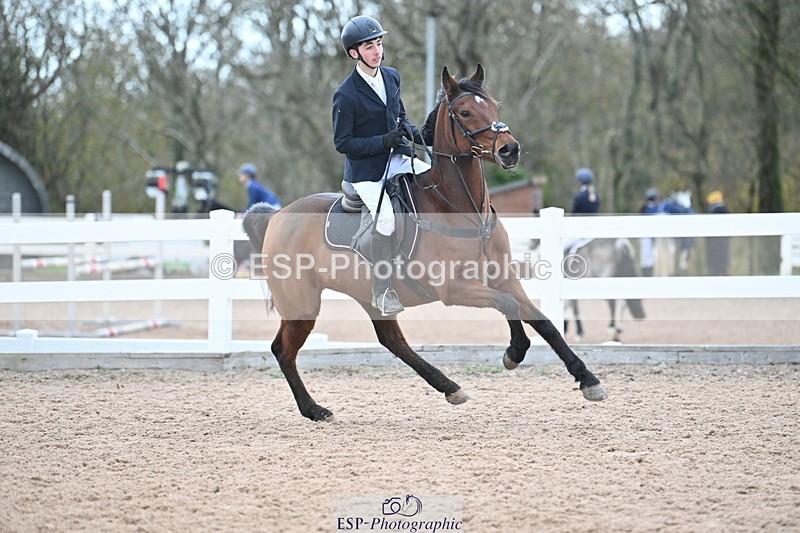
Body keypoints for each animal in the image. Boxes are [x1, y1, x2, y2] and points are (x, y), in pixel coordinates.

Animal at [242, 64, 607, 421]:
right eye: (464, 112)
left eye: (495, 107)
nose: (509, 150)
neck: (460, 209)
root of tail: (276, 217)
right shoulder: (454, 288)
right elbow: (508, 304)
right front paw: (514, 352)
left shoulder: (503, 276)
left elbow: (540, 319)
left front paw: (587, 380)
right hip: (302, 303)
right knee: (283, 350)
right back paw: (314, 410)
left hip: (366, 297)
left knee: (392, 341)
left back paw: (449, 387)